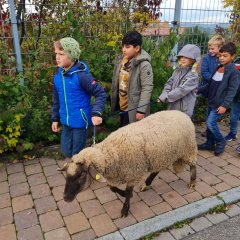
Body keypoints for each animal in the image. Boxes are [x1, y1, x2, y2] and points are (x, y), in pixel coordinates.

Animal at [58, 110, 197, 218]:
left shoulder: (134, 173)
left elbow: (128, 191)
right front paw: (124, 194)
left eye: (82, 175)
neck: (110, 153)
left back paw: (192, 182)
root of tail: (182, 113)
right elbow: (112, 188)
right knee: (156, 170)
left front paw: (125, 209)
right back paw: (146, 184)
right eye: (67, 176)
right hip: (161, 156)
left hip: (187, 149)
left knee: (193, 164)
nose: (65, 198)